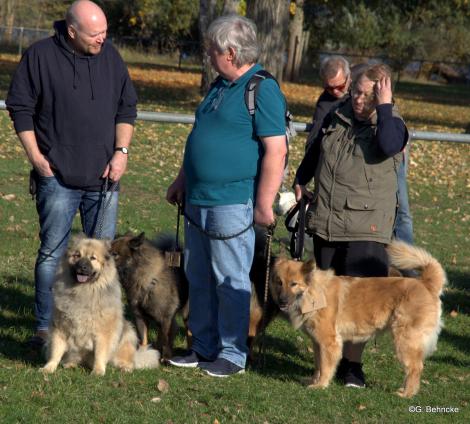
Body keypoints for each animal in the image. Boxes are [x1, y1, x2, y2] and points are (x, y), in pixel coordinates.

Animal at [40, 235, 162, 374]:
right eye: (77, 255)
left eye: (93, 258)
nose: (82, 266)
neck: (83, 291)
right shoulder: (60, 328)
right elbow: (55, 351)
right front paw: (48, 368)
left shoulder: (103, 334)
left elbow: (100, 353)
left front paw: (98, 371)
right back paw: (70, 364)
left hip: (127, 335)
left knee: (127, 359)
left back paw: (125, 367)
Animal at [270, 242, 446, 398]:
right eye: (279, 282)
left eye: (294, 284)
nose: (282, 301)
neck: (314, 293)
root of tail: (426, 284)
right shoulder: (317, 342)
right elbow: (318, 365)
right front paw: (313, 381)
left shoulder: (329, 342)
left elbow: (325, 367)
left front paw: (320, 385)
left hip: (404, 340)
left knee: (415, 368)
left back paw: (406, 394)